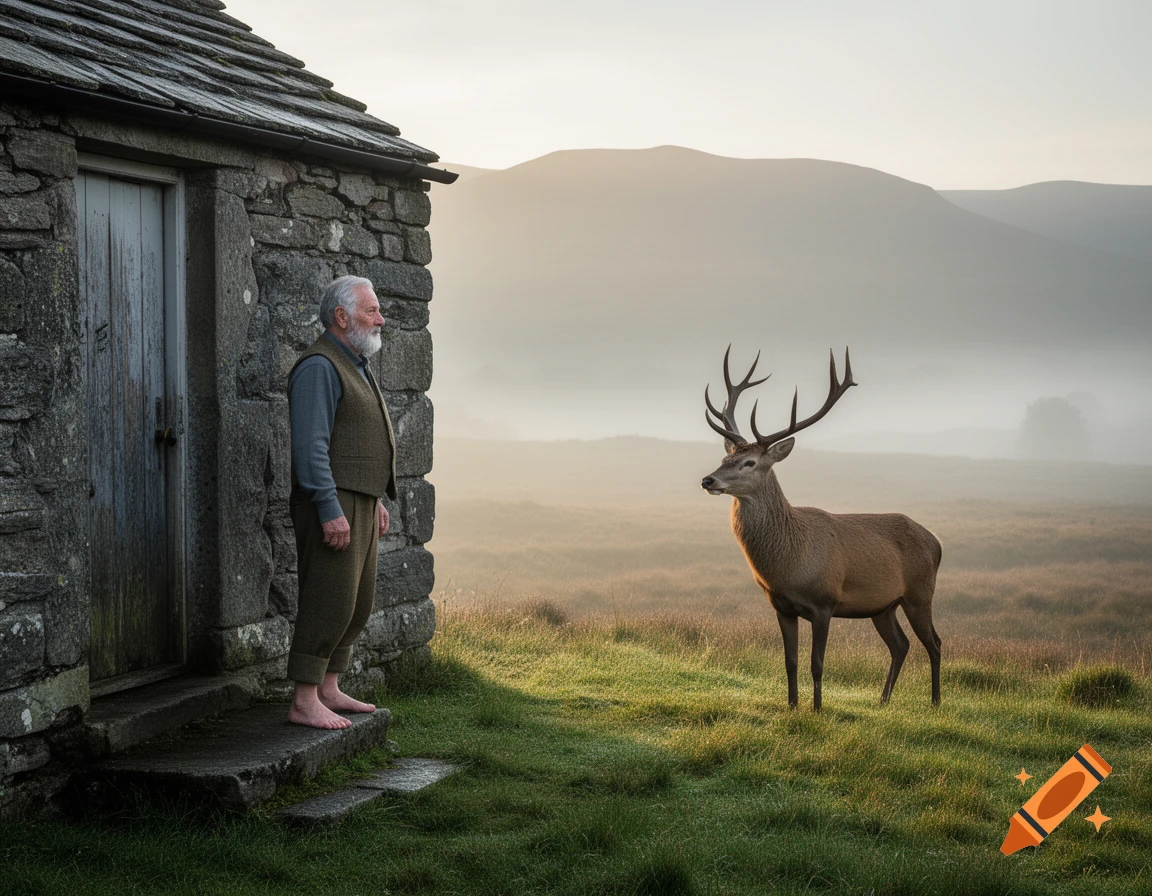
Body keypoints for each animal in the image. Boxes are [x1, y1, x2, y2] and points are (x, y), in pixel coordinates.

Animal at [700, 347, 942, 711]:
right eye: (724, 458)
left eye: (749, 462)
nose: (708, 480)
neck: (789, 564)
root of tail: (937, 543)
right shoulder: (781, 606)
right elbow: (790, 661)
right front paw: (791, 706)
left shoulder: (824, 602)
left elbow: (817, 662)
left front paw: (816, 708)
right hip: (883, 605)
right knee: (900, 645)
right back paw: (883, 700)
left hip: (920, 592)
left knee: (935, 643)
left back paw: (936, 702)